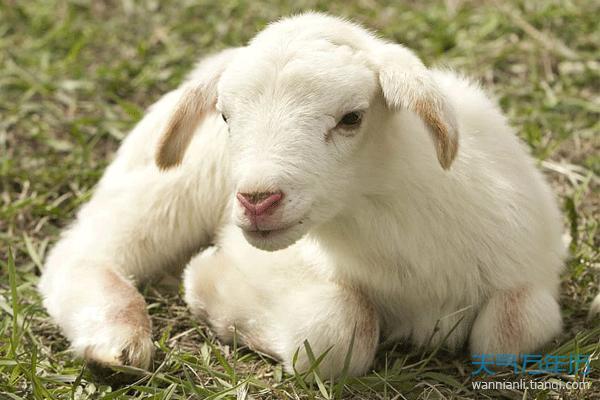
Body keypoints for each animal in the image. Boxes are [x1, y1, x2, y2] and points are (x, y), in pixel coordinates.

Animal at [36, 14, 576, 380]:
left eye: (352, 117)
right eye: (226, 116)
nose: (257, 200)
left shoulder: (528, 269)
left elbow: (511, 332)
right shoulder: (268, 262)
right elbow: (342, 330)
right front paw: (207, 285)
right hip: (167, 186)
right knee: (85, 250)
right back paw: (116, 340)